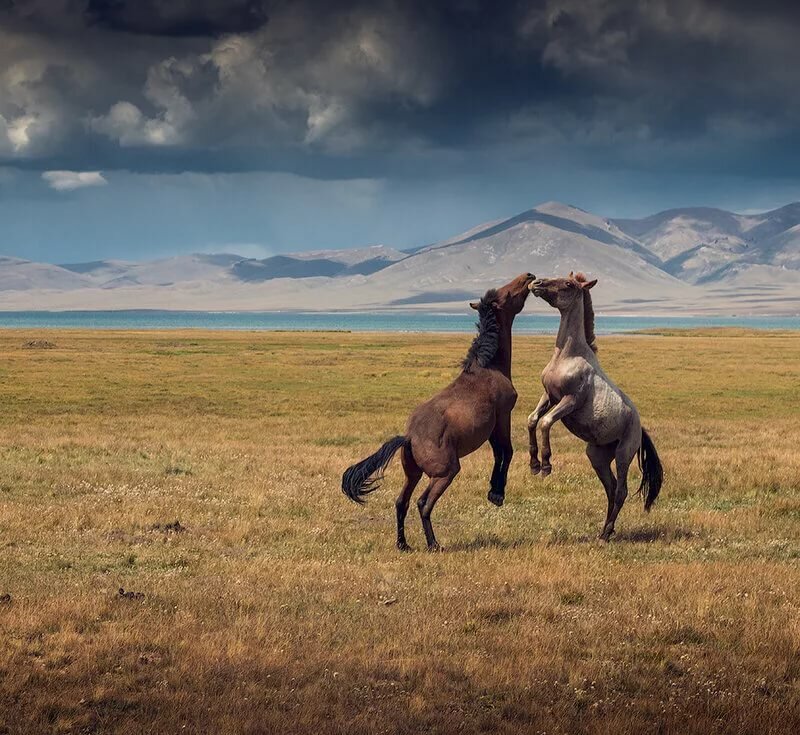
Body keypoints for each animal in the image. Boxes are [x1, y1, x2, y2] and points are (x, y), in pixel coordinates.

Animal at [341, 272, 536, 551]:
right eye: (507, 293)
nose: (529, 276)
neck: (489, 367)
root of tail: (409, 437)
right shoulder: (502, 417)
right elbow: (506, 452)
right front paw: (497, 494)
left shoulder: (489, 428)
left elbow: (498, 453)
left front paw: (493, 491)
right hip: (445, 473)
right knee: (423, 504)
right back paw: (434, 544)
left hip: (413, 473)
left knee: (401, 502)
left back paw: (403, 544)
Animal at [527, 272, 663, 540]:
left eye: (568, 284)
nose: (536, 283)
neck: (568, 355)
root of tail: (640, 428)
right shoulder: (548, 396)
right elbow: (532, 420)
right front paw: (534, 464)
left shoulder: (570, 400)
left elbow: (546, 422)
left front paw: (546, 465)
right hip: (597, 456)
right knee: (611, 489)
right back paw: (605, 531)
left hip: (623, 454)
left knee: (621, 491)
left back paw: (606, 533)